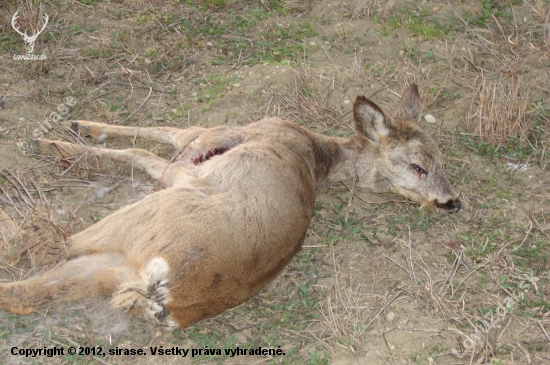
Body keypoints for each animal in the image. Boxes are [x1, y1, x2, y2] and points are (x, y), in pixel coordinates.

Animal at [0, 84, 462, 328]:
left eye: (437, 163)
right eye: (421, 165)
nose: (451, 201)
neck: (317, 154)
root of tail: (173, 297)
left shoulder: (192, 155)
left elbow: (139, 147)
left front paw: (54, 139)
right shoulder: (199, 140)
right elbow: (150, 131)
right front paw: (78, 125)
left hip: (147, 218)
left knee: (49, 245)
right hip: (113, 264)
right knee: (26, 294)